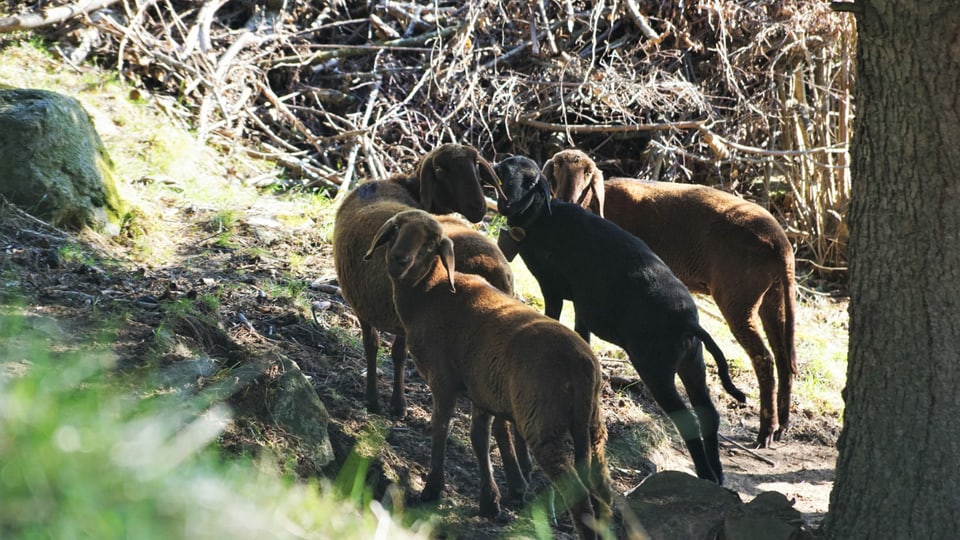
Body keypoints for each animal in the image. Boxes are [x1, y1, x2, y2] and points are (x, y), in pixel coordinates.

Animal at [364, 209, 612, 536]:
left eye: (430, 244)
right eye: (395, 231)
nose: (398, 259)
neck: (429, 291)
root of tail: (582, 363)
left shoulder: (442, 380)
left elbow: (440, 427)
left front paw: (432, 489)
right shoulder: (481, 393)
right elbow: (479, 440)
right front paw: (489, 502)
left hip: (543, 422)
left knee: (575, 489)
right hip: (593, 426)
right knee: (603, 488)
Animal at [544, 148, 800, 448]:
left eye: (587, 174)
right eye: (556, 167)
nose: (566, 198)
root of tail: (781, 245)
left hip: (739, 297)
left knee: (764, 358)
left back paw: (765, 432)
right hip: (773, 297)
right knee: (782, 358)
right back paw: (782, 426)